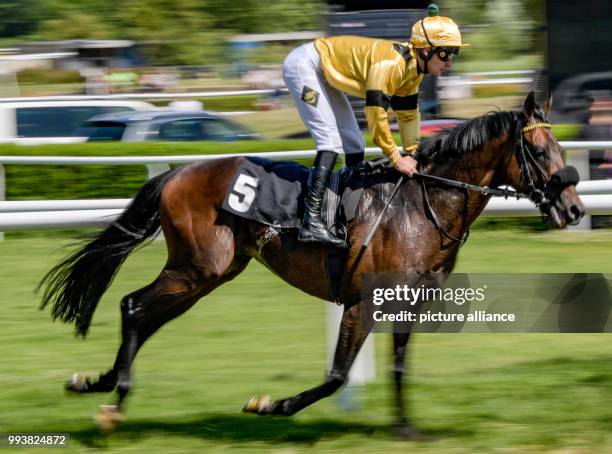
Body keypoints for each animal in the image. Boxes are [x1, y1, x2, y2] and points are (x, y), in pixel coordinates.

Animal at [39, 91, 584, 432]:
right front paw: (270, 404)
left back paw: (100, 384)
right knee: (133, 305)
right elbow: (337, 374)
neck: (421, 202)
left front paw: (407, 428)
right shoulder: (364, 302)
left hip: (209, 274)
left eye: (560, 146)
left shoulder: (407, 302)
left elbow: (399, 367)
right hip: (197, 268)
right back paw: (113, 396)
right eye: (539, 151)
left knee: (146, 316)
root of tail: (176, 172)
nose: (575, 208)